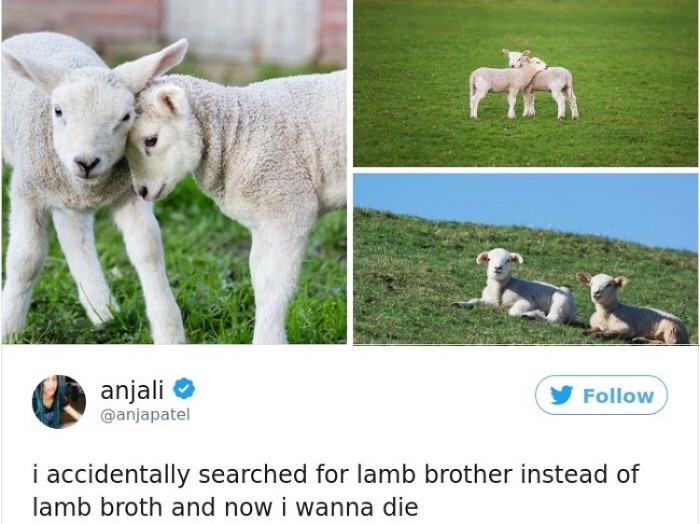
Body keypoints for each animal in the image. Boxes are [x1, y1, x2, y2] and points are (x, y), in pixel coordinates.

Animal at [1, 32, 188, 344]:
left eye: (126, 117)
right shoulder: (27, 189)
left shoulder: (128, 192)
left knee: (73, 233)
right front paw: (9, 329)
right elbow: (26, 258)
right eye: (58, 110)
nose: (86, 162)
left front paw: (169, 332)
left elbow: (148, 249)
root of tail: (36, 33)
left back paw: (101, 308)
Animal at [125, 70, 347, 344]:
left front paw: (268, 341)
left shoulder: (287, 206)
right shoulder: (262, 221)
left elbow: (274, 283)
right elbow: (258, 277)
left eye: (151, 140)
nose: (142, 191)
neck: (236, 131)